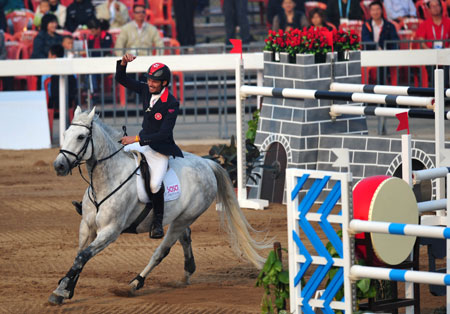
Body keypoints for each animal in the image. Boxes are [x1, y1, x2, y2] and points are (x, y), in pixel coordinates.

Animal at [48, 107, 270, 304]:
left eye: (81, 137)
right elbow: (79, 256)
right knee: (185, 237)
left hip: (184, 218)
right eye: (65, 133)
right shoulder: (87, 226)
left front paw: (60, 292)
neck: (106, 180)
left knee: (162, 251)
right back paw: (187, 271)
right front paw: (66, 288)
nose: (59, 166)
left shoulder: (110, 231)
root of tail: (207, 164)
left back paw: (135, 283)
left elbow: (82, 256)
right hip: (179, 217)